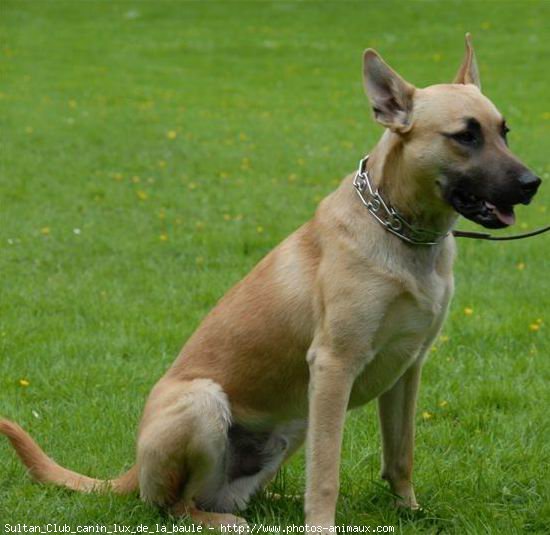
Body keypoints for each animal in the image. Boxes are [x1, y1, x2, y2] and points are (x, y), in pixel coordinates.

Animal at [0, 35, 544, 528]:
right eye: (465, 135)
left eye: (504, 131)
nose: (532, 184)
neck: (401, 230)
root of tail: (131, 472)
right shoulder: (333, 366)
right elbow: (326, 473)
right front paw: (322, 524)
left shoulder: (408, 368)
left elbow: (401, 454)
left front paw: (409, 511)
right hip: (205, 405)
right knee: (174, 507)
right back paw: (221, 519)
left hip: (289, 431)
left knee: (231, 494)